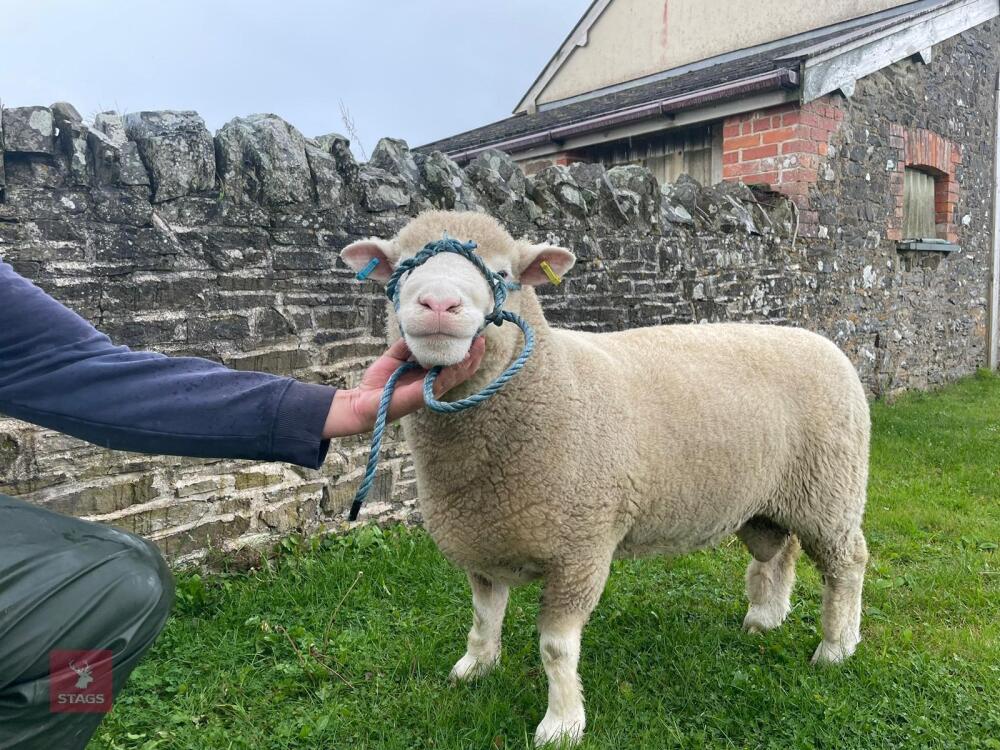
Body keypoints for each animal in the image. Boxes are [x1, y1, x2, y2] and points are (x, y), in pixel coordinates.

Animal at [342, 210, 868, 748]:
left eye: (504, 274)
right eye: (402, 268)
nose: (439, 304)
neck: (547, 384)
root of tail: (823, 342)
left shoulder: (581, 549)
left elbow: (556, 647)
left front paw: (562, 723)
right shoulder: (484, 542)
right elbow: (483, 618)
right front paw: (475, 667)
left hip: (831, 490)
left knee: (847, 563)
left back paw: (835, 648)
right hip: (771, 496)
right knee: (779, 551)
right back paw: (765, 619)